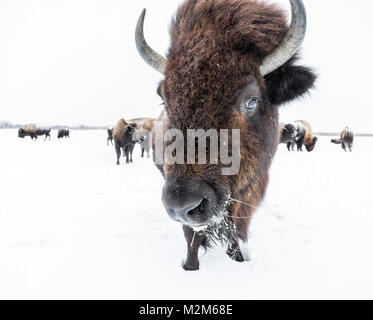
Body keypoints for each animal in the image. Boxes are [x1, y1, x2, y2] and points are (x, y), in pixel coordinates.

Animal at [135, 0, 316, 270]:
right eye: (165, 99)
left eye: (251, 101)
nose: (182, 203)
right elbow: (192, 238)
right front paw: (190, 267)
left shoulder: (249, 192)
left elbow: (237, 233)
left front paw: (239, 259)